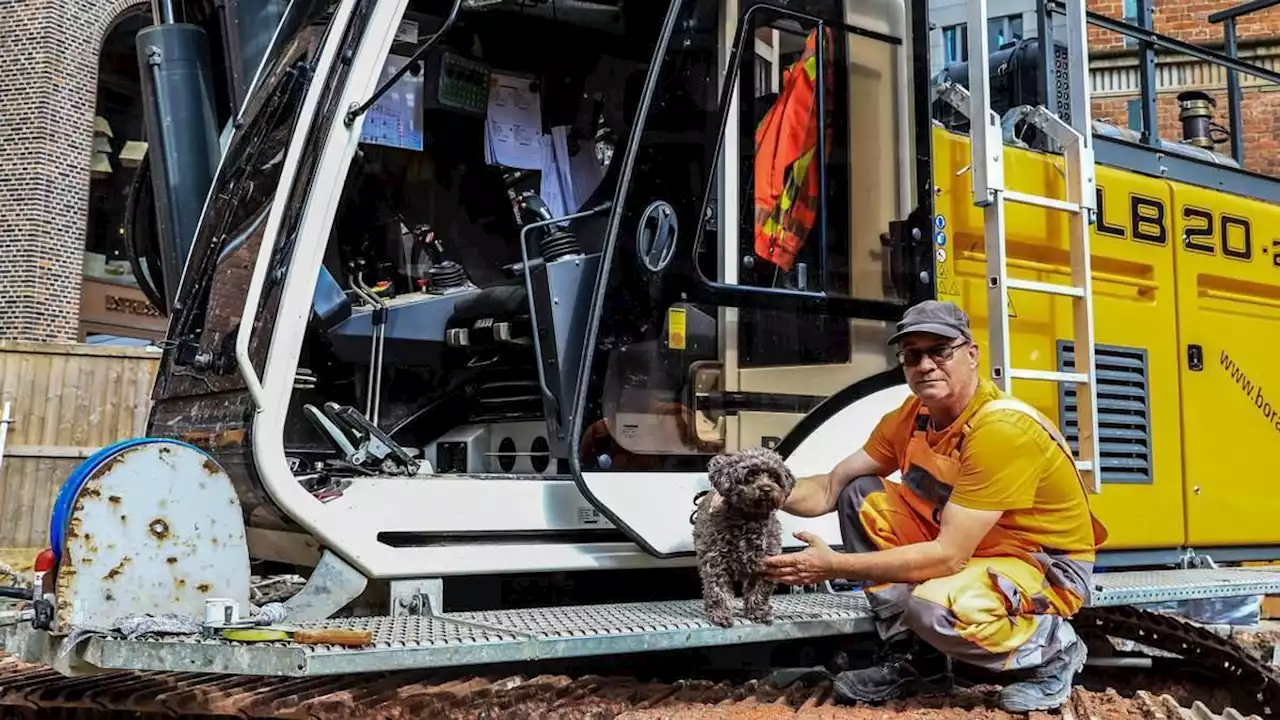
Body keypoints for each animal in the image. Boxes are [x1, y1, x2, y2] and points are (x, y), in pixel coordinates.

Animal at [696, 445, 793, 625]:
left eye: (774, 477)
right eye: (751, 475)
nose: (766, 489)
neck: (749, 520)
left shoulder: (765, 564)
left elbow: (759, 591)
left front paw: (759, 612)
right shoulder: (716, 561)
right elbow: (718, 589)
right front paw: (720, 613)